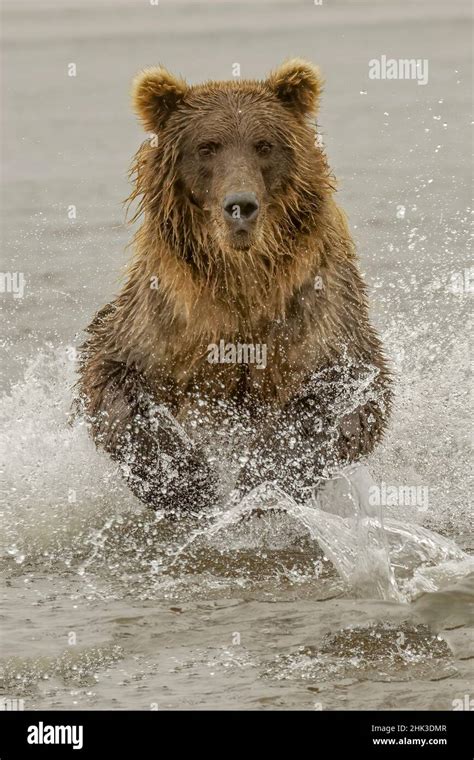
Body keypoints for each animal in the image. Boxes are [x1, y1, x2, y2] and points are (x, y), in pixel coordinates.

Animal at [76, 58, 390, 510]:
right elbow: (113, 378)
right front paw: (187, 481)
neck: (242, 277)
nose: (240, 205)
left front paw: (264, 474)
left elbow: (347, 388)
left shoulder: (315, 304)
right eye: (207, 146)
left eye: (264, 145)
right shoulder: (167, 314)